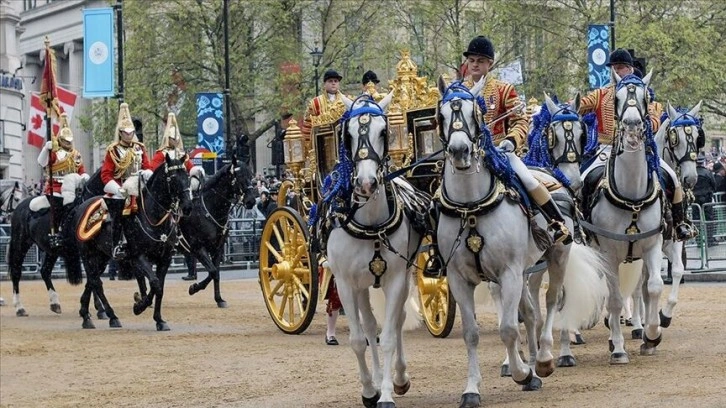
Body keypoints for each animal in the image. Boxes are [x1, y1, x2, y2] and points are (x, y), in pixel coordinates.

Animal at [7, 174, 86, 318]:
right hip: (21, 243)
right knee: (16, 271)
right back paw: (19, 307)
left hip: (51, 250)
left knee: (45, 271)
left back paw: (55, 303)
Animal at [71, 155, 193, 330]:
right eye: (173, 178)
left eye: (187, 177)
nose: (188, 207)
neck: (153, 218)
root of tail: (81, 206)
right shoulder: (139, 256)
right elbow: (155, 283)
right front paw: (139, 306)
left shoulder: (165, 259)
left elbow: (159, 288)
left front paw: (159, 320)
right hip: (88, 255)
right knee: (96, 282)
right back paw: (111, 316)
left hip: (102, 257)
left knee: (92, 281)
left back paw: (86, 315)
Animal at [322, 93, 420, 408]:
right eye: (348, 134)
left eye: (384, 132)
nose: (366, 183)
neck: (370, 224)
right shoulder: (344, 283)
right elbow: (357, 339)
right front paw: (369, 389)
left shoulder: (396, 279)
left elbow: (388, 336)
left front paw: (387, 393)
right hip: (362, 285)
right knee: (368, 326)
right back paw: (376, 380)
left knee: (396, 322)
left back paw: (398, 377)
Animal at [438, 76, 608, 404]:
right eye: (441, 115)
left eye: (474, 113)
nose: (460, 150)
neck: (471, 206)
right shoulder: (459, 278)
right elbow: (472, 333)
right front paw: (472, 389)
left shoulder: (510, 272)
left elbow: (508, 328)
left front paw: (523, 373)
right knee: (530, 312)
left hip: (556, 257)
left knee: (552, 301)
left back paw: (543, 358)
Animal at [584, 71, 668, 364]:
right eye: (617, 98)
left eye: (645, 97)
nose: (632, 126)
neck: (632, 197)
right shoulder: (609, 253)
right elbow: (615, 299)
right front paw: (619, 349)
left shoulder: (653, 245)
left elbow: (654, 287)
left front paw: (652, 336)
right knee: (613, 293)